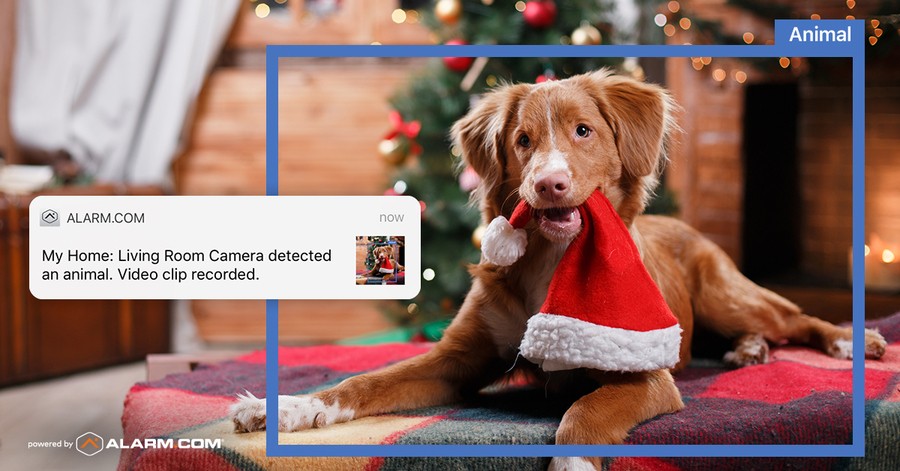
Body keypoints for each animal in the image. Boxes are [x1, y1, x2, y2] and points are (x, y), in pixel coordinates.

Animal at [232, 70, 884, 471]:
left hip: (726, 293)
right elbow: (363, 383)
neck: (549, 262)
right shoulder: (457, 360)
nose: (548, 184)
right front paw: (285, 409)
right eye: (522, 140)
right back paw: (749, 350)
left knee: (793, 318)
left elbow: (581, 415)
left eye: (583, 131)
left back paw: (849, 341)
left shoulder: (646, 377)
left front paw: (571, 461)